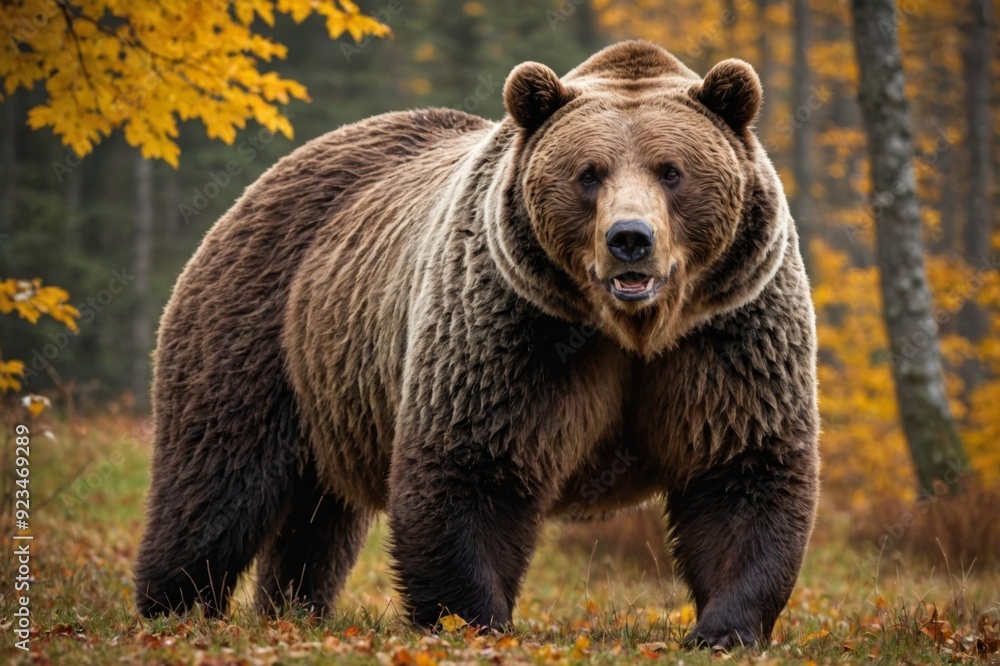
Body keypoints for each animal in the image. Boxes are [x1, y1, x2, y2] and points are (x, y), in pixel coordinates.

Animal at [134, 40, 819, 650]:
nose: (630, 239)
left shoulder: (726, 333)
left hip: (331, 387)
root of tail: (267, 180)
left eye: (671, 171)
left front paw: (725, 629)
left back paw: (295, 609)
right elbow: (473, 464)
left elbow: (740, 469)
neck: (629, 328)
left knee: (317, 517)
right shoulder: (511, 324)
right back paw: (173, 607)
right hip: (260, 326)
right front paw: (471, 620)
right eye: (589, 174)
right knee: (219, 482)